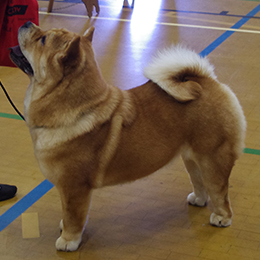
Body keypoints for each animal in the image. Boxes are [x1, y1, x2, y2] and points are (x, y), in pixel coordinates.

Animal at [10, 21, 246, 250]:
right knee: (199, 181)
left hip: (212, 159)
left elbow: (73, 216)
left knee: (219, 191)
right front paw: (65, 228)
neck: (77, 109)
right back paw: (197, 199)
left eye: (42, 39)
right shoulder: (68, 190)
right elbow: (68, 214)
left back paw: (222, 217)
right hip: (191, 158)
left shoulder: (75, 187)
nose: (27, 22)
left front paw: (68, 241)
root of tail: (207, 81)